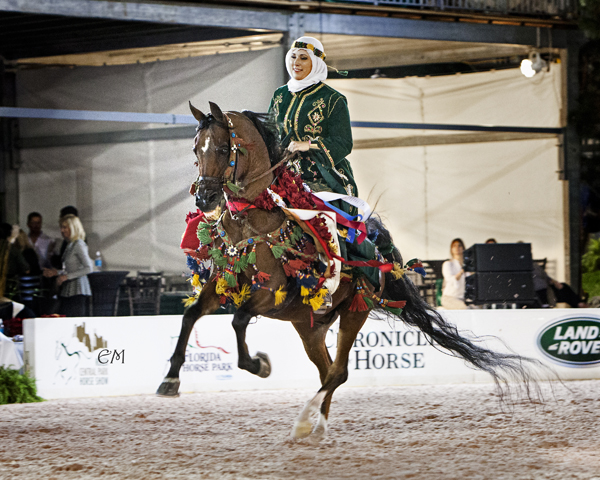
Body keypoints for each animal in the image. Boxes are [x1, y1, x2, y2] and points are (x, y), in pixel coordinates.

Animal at [158, 103, 540, 440]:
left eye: (224, 148)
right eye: (196, 148)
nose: (204, 199)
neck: (255, 220)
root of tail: (382, 257)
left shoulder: (270, 294)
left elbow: (238, 321)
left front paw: (259, 364)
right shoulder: (223, 284)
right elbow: (191, 315)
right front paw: (171, 378)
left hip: (354, 313)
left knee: (338, 372)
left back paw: (307, 423)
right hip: (308, 325)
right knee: (327, 370)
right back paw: (315, 426)